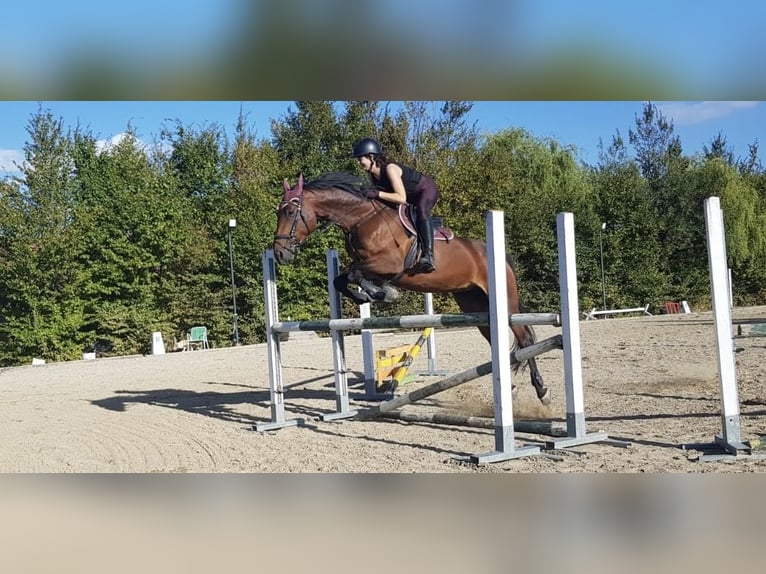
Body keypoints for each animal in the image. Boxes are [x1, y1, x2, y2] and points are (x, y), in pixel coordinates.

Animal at [273, 172, 550, 405]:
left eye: (290, 212)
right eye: (278, 213)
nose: (279, 254)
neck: (362, 220)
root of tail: (493, 252)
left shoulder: (389, 264)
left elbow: (354, 274)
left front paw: (383, 293)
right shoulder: (367, 265)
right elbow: (341, 280)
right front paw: (370, 295)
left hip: (504, 301)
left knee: (525, 339)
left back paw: (542, 391)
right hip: (474, 303)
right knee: (496, 337)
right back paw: (510, 388)